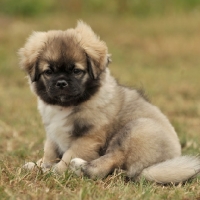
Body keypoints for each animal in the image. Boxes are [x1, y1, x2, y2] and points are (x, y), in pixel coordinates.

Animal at [18, 21, 199, 184]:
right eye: (48, 72)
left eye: (76, 71)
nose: (61, 83)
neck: (65, 107)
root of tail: (153, 168)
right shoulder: (53, 135)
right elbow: (49, 153)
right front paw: (38, 165)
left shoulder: (87, 139)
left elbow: (67, 157)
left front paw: (53, 171)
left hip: (137, 129)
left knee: (109, 162)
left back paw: (78, 166)